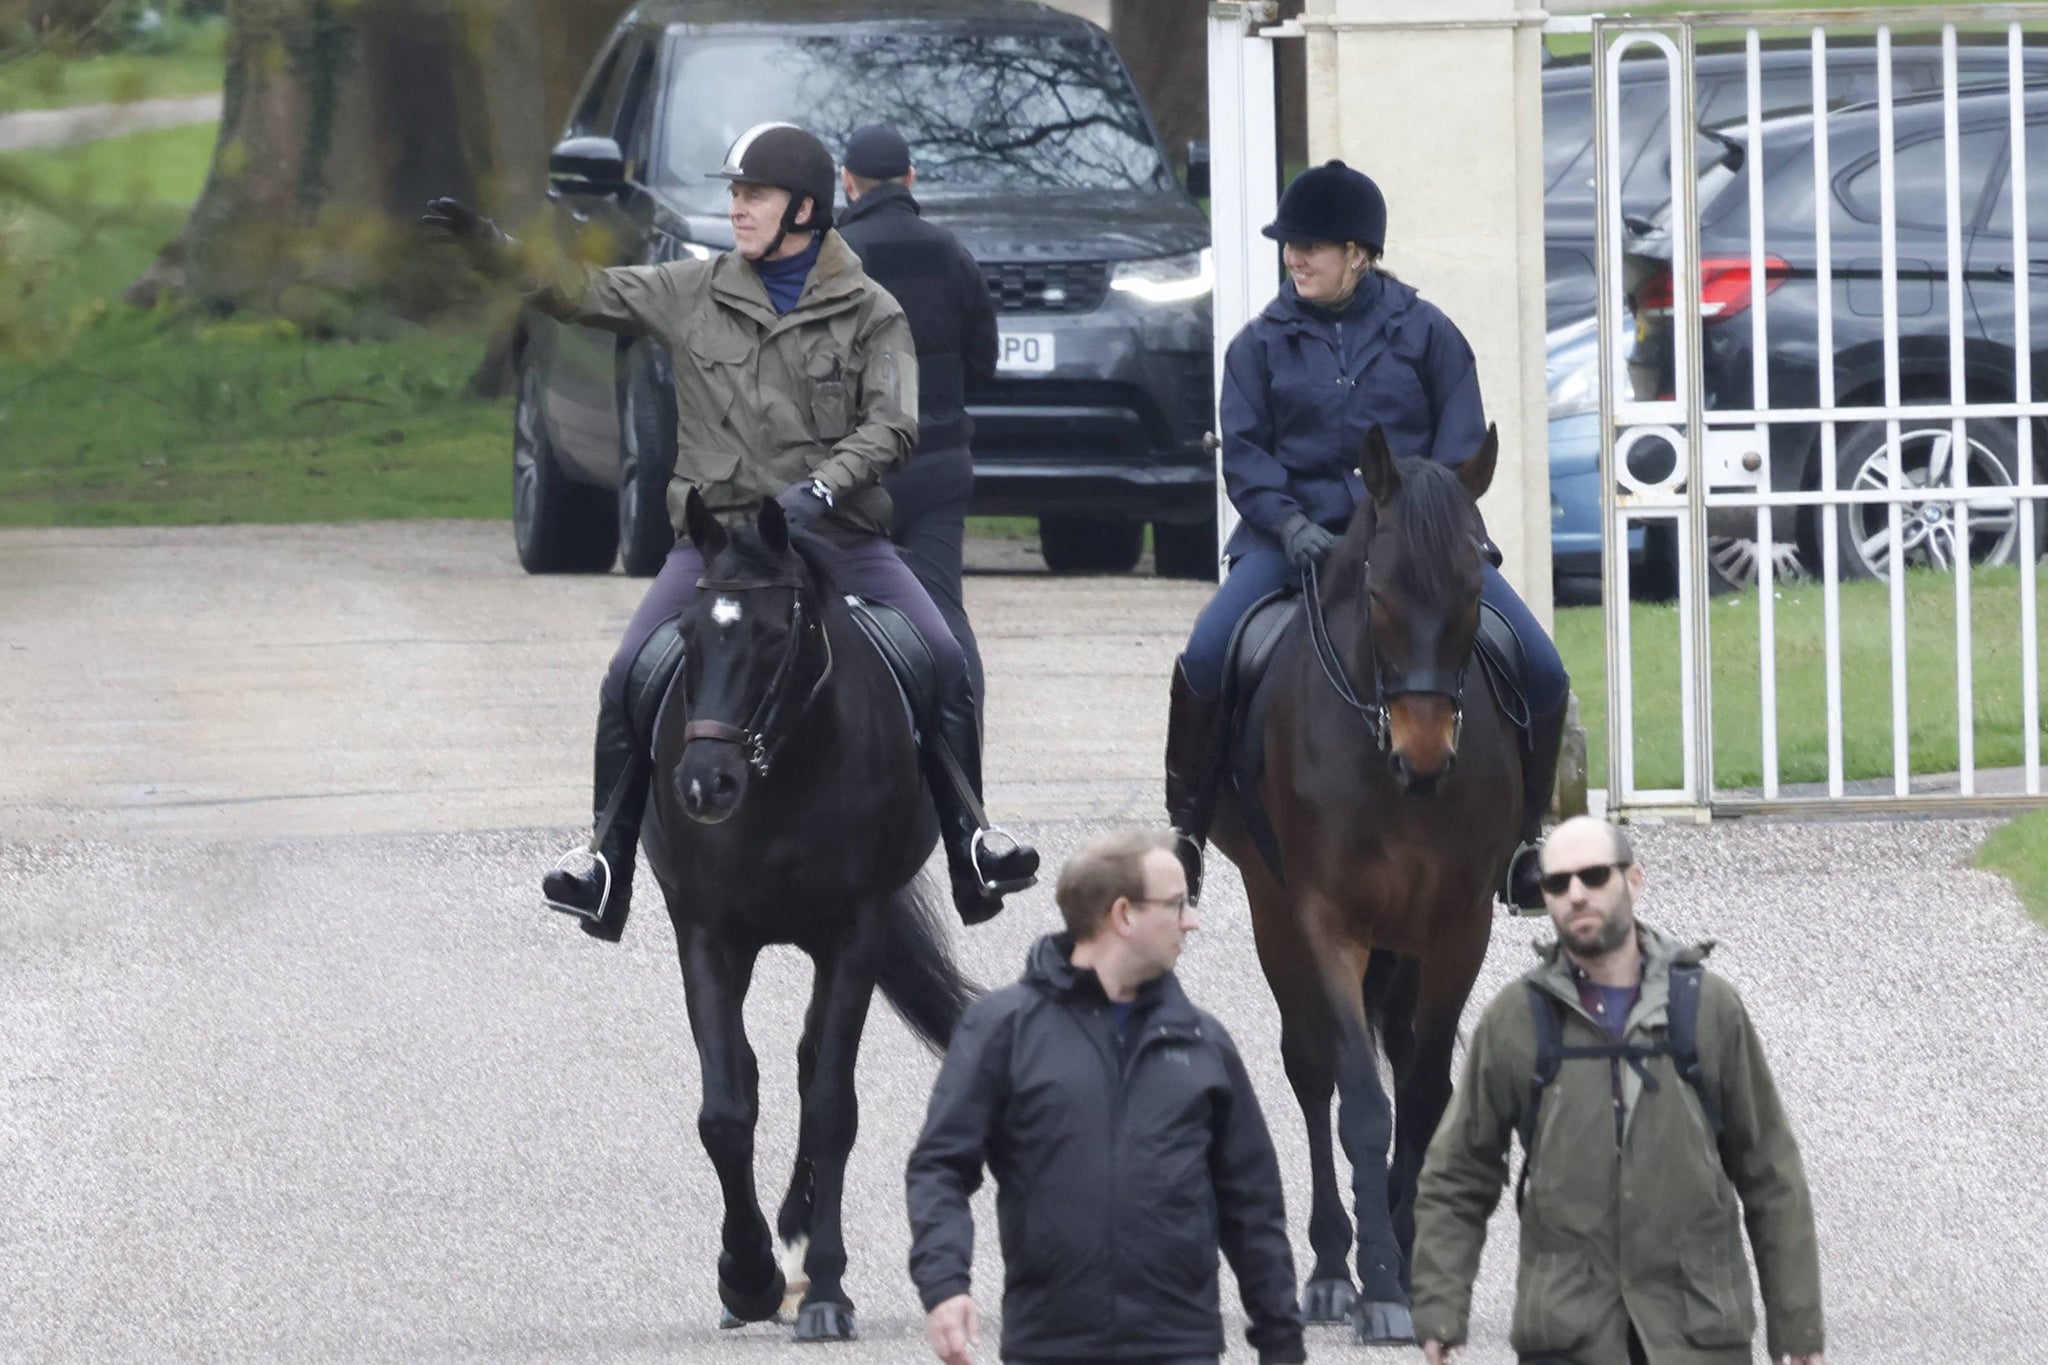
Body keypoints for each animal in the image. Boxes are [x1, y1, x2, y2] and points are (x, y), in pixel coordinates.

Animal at [651, 493, 978, 1342]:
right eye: (690, 635)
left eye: (773, 635)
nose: (703, 784)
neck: (781, 777)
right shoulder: (707, 933)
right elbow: (726, 1108)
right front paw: (747, 1275)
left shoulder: (853, 932)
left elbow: (831, 1107)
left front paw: (825, 1287)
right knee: (761, 1072)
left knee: (809, 1069)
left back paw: (800, 1232)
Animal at [1212, 427, 1523, 1342]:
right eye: (1380, 593)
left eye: (1475, 585)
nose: (1424, 756)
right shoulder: (1327, 923)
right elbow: (1360, 1101)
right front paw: (1378, 1281)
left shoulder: (1457, 927)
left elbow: (1421, 1093)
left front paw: (1412, 1258)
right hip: (1274, 914)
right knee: (1312, 1071)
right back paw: (1326, 1271)